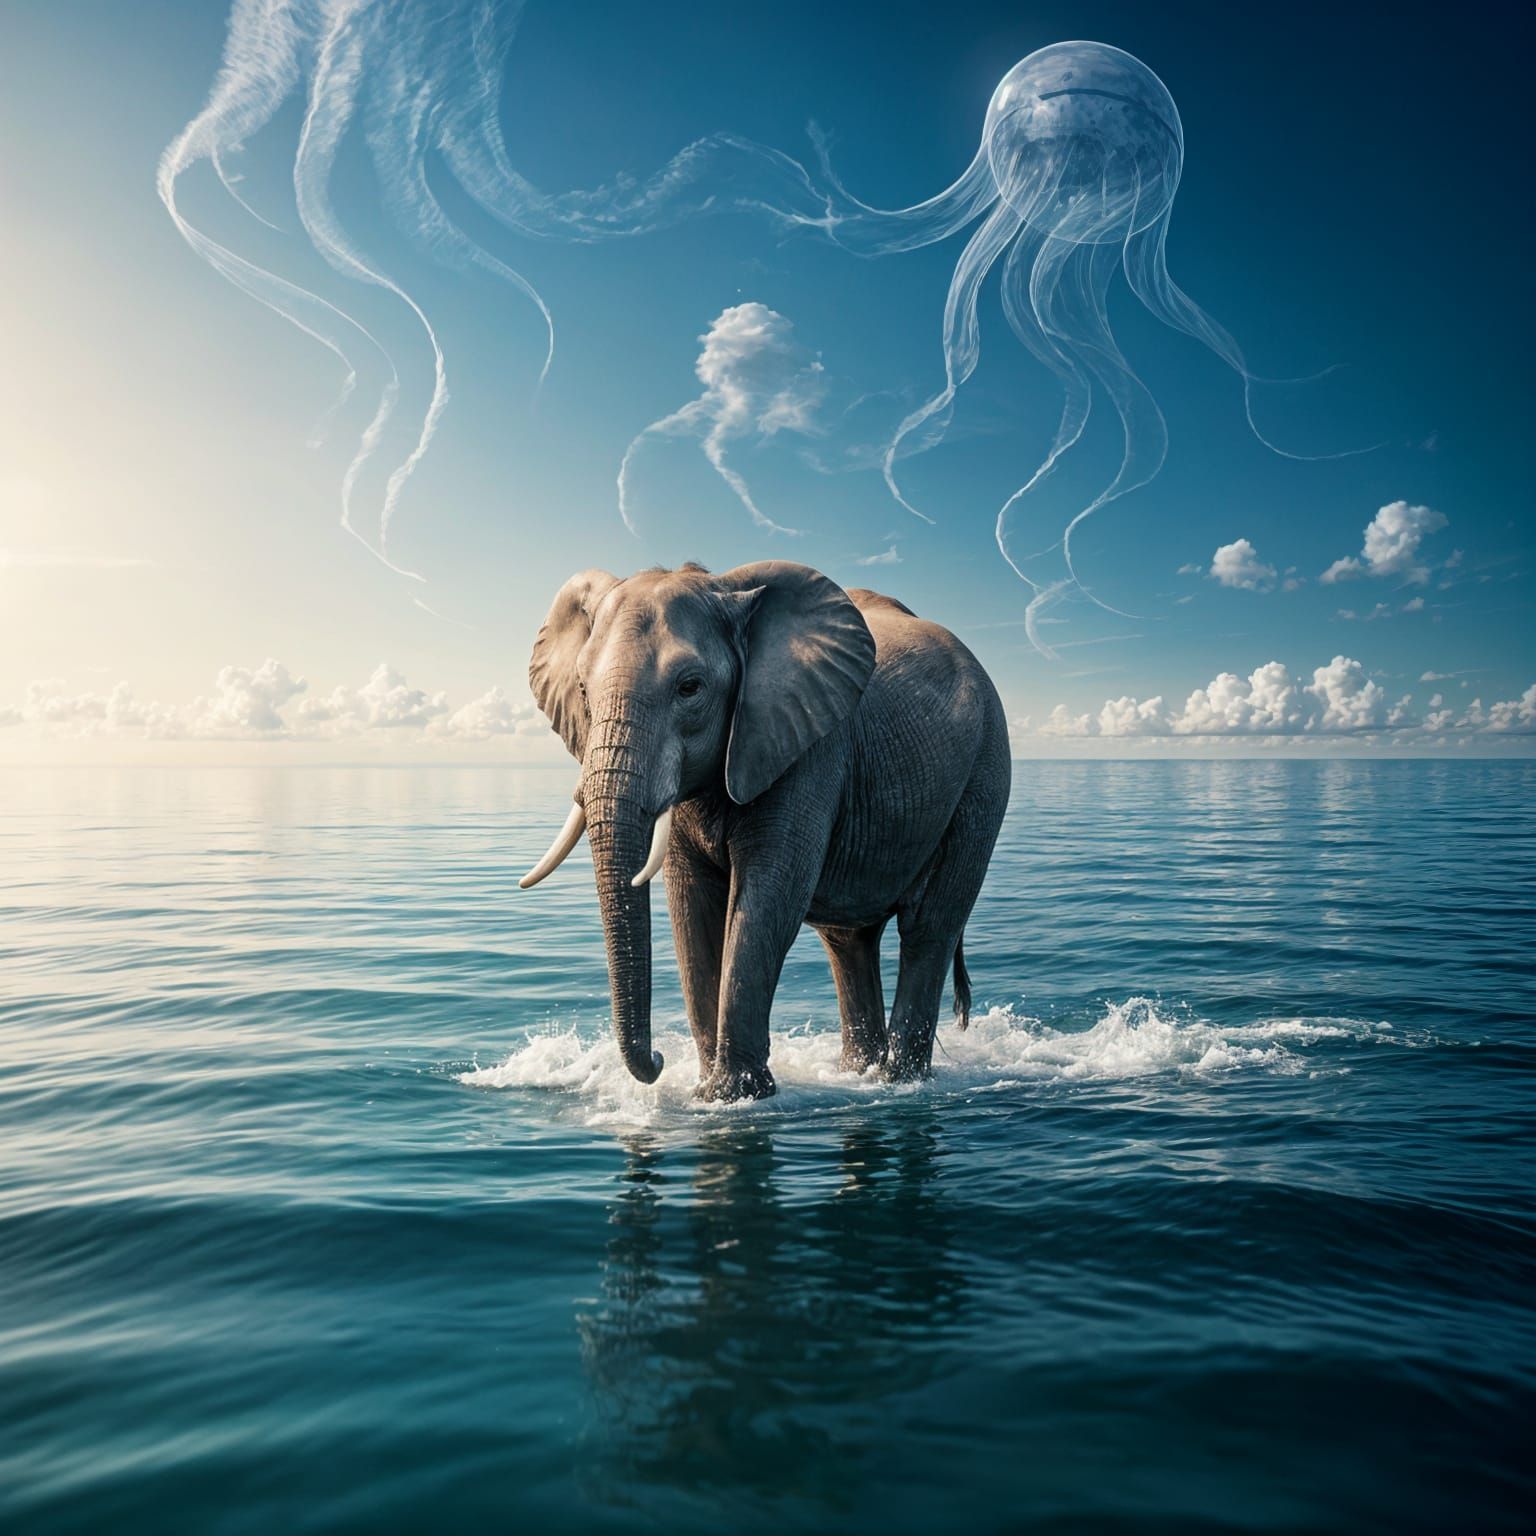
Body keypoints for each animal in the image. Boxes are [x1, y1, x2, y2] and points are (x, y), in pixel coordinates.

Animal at [520, 560, 1010, 1101]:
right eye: (583, 691)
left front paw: (732, 1097)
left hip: (985, 771)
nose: (658, 1058)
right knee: (849, 942)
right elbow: (691, 906)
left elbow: (767, 896)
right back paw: (858, 1074)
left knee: (928, 927)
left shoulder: (809, 747)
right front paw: (705, 1091)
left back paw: (899, 1082)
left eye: (689, 687)